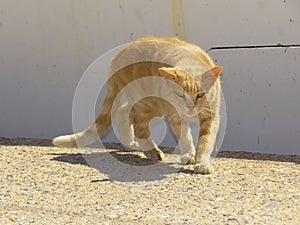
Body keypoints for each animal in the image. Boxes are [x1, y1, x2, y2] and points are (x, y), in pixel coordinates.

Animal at [53, 37, 223, 174]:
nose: (190, 107)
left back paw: (129, 144)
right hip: (150, 104)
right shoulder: (175, 115)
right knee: (138, 127)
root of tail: (117, 56)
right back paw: (151, 151)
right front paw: (189, 155)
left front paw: (201, 162)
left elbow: (205, 141)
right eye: (180, 95)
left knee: (123, 112)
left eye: (200, 95)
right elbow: (185, 137)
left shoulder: (211, 116)